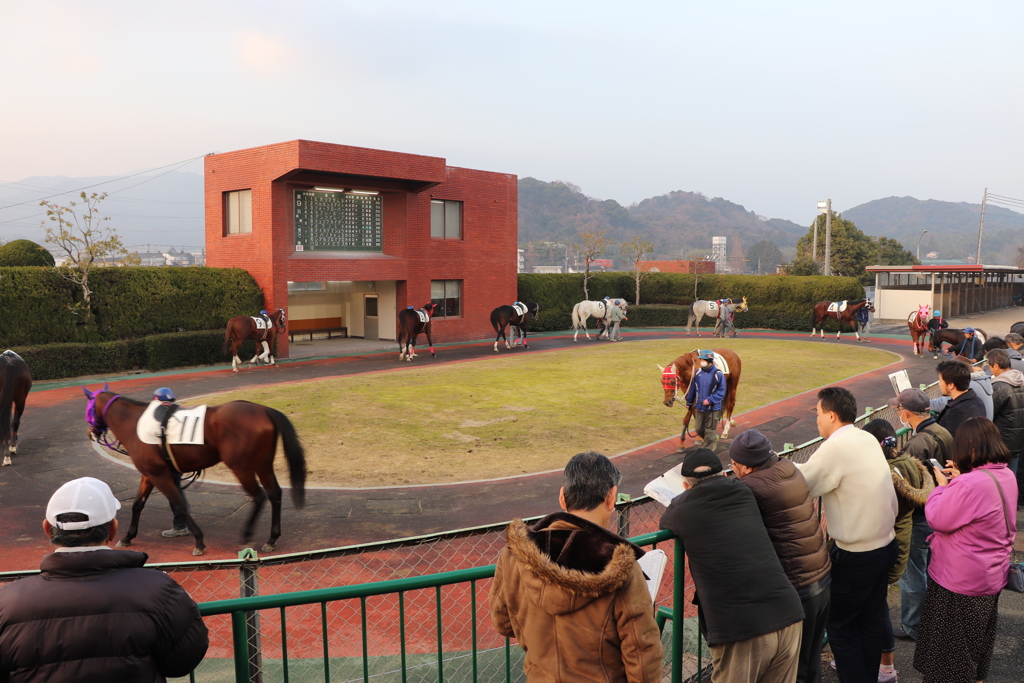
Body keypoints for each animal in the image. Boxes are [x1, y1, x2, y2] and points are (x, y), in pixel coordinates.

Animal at [83, 385, 303, 557]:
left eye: (88, 409)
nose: (91, 432)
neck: (134, 423)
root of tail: (265, 410)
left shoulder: (159, 475)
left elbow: (180, 505)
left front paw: (199, 541)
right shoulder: (149, 474)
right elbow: (138, 504)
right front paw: (128, 537)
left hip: (242, 467)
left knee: (258, 496)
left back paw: (247, 535)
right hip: (263, 464)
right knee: (274, 493)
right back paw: (271, 539)